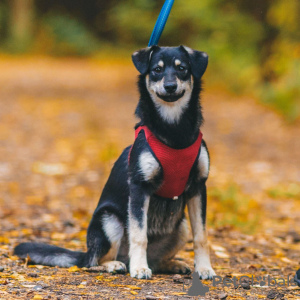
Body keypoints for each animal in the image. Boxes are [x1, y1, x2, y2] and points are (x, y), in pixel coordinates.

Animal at [14, 45, 216, 280]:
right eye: (157, 70)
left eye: (182, 68)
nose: (170, 86)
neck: (174, 130)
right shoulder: (139, 187)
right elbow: (139, 235)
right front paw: (139, 268)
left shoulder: (198, 188)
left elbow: (201, 236)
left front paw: (204, 268)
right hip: (109, 221)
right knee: (92, 263)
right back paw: (116, 265)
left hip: (181, 226)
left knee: (156, 261)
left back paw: (172, 264)